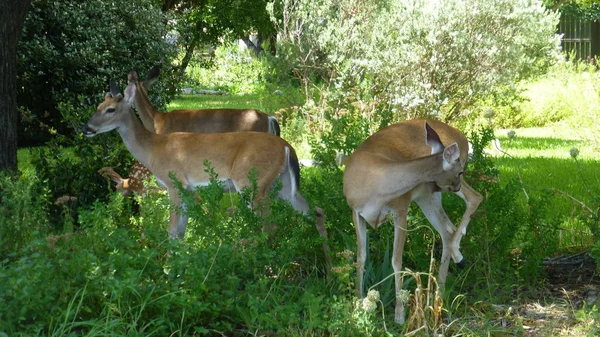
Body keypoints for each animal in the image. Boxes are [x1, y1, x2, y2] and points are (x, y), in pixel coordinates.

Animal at [342, 119, 482, 322]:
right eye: (460, 171)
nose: (455, 185)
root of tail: (462, 136)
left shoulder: (401, 209)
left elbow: (396, 260)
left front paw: (400, 314)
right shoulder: (356, 211)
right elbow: (361, 258)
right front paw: (358, 302)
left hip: (430, 195)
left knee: (474, 199)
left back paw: (454, 264)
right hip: (427, 197)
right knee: (447, 230)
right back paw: (438, 292)